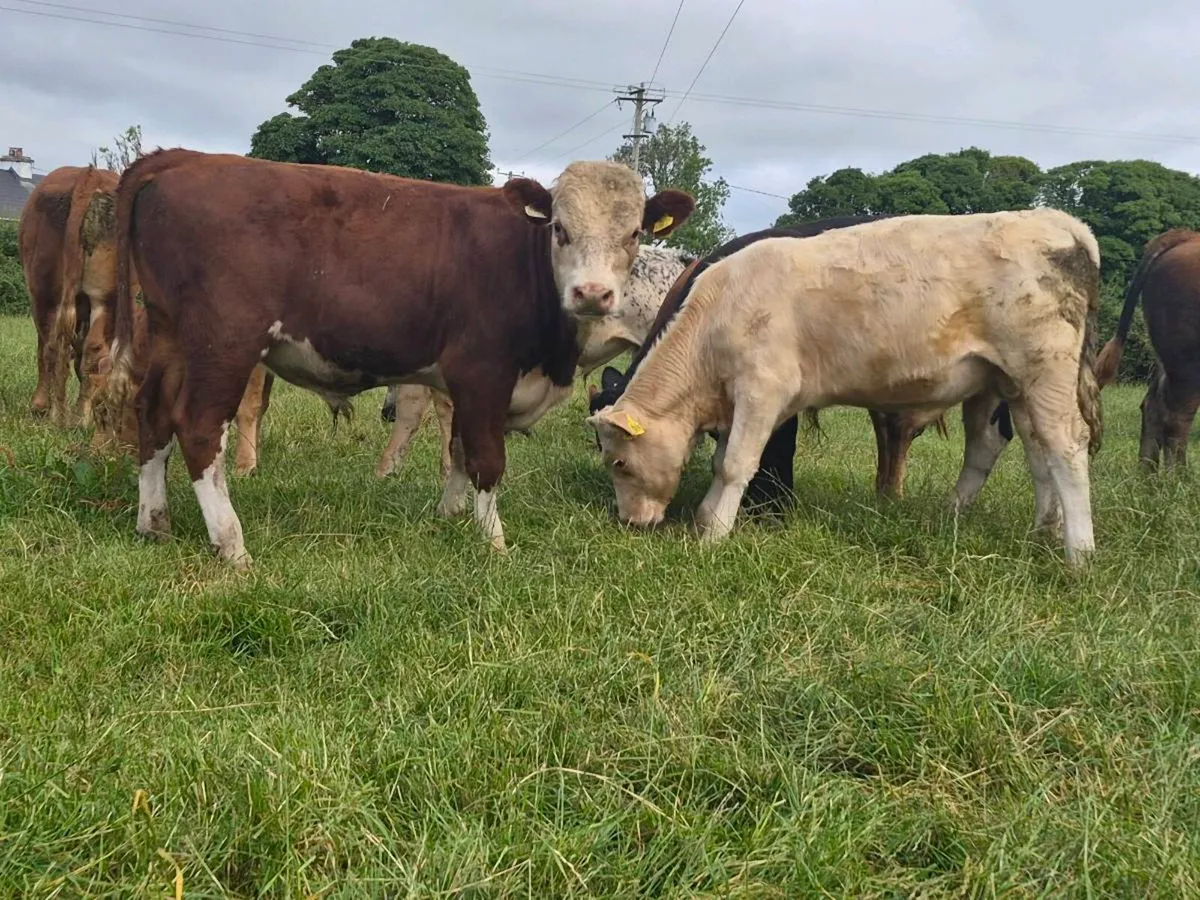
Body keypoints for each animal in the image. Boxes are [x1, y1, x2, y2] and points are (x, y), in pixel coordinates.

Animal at [1095, 229, 1200, 470]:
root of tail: (1186, 236)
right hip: (1186, 360)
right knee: (1176, 417)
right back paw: (1178, 476)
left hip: (1166, 357)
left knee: (1154, 404)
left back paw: (1147, 472)